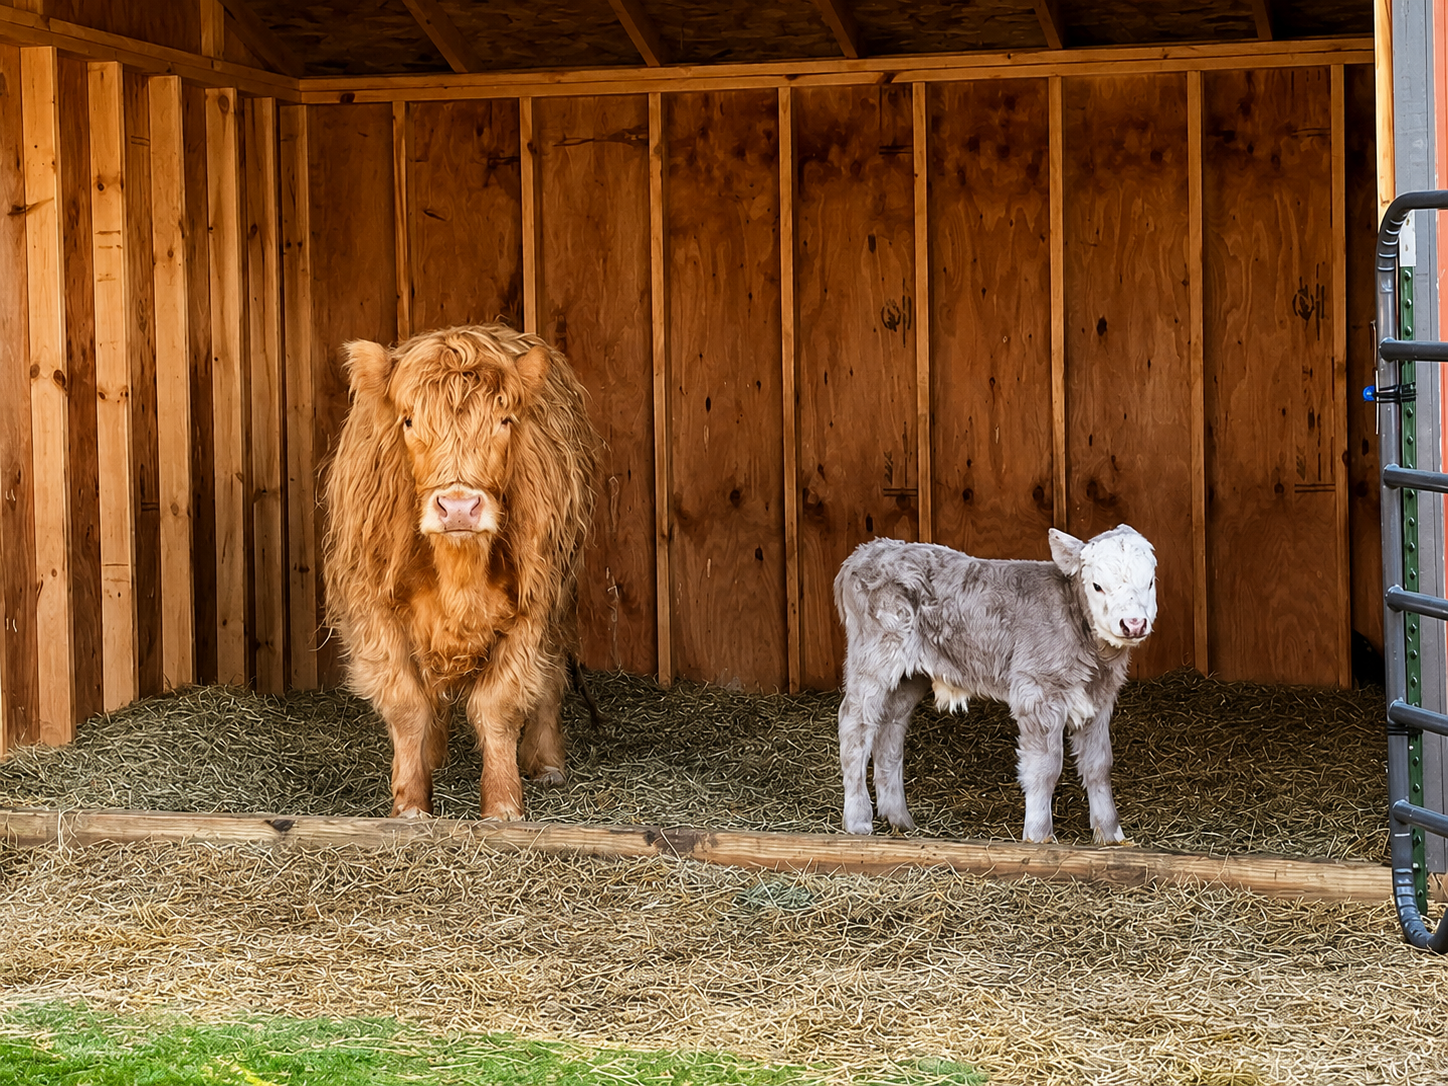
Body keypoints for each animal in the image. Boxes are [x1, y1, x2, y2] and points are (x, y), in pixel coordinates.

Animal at [322, 323, 599, 821]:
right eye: (409, 421)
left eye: (504, 421)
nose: (457, 507)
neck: (458, 570)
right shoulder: (372, 608)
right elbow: (407, 706)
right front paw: (410, 805)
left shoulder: (534, 605)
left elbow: (500, 705)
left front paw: (503, 805)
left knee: (551, 677)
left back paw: (548, 762)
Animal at [834, 525, 1157, 845]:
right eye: (1097, 586)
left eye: (1150, 582)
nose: (1133, 624)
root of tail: (870, 550)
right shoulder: (1036, 693)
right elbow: (1045, 768)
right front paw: (1039, 836)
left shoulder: (1098, 700)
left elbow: (1099, 766)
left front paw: (1112, 835)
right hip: (874, 658)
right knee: (855, 726)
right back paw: (858, 819)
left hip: (908, 677)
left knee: (890, 728)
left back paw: (899, 819)